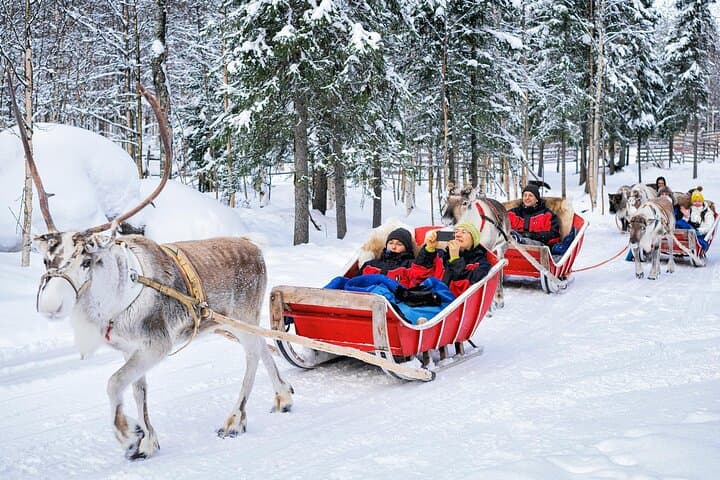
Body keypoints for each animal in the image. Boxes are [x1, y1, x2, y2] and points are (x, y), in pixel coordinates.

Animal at [9, 77, 294, 460]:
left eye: (87, 260)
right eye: (45, 260)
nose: (51, 306)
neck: (113, 300)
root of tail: (254, 246)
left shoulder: (155, 345)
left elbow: (114, 382)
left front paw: (127, 433)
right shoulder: (132, 349)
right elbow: (138, 390)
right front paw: (146, 440)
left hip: (243, 316)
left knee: (251, 354)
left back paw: (235, 420)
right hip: (229, 322)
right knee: (264, 346)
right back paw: (283, 395)